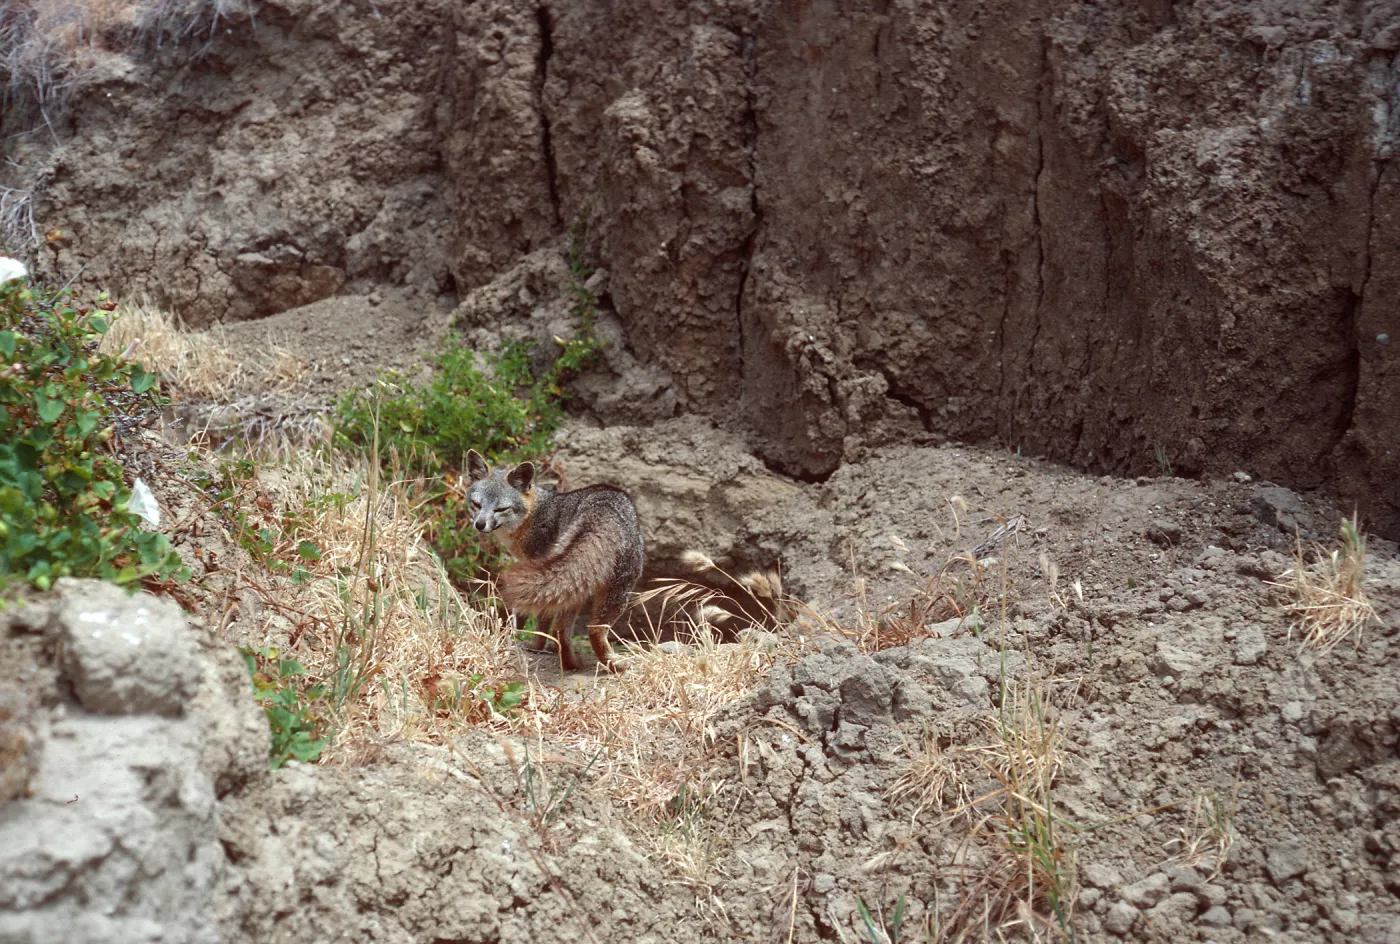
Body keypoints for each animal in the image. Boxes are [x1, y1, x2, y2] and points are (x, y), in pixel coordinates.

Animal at [464, 449, 644, 672]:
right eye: (477, 504)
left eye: (500, 509)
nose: (480, 524)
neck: (533, 515)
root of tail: (602, 509)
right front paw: (539, 646)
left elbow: (542, 621)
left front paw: (536, 646)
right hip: (596, 588)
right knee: (582, 629)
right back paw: (587, 664)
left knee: (570, 628)